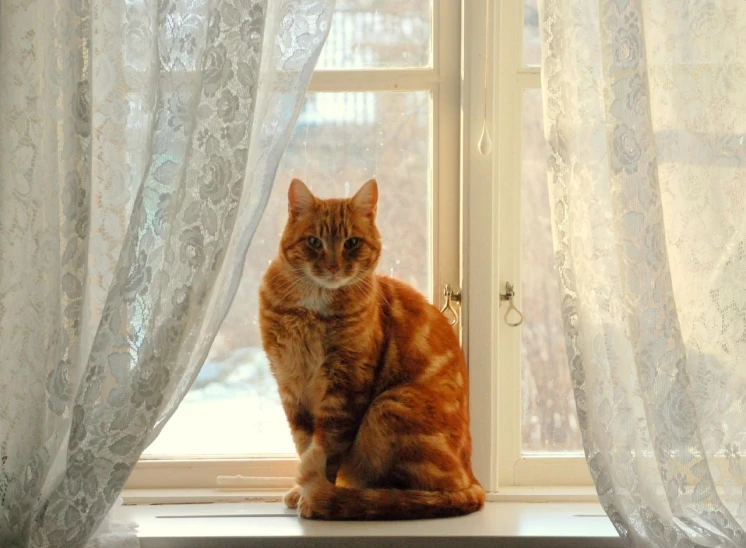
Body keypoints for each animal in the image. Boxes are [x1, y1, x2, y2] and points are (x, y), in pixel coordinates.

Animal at [258, 179, 482, 520]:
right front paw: (302, 491)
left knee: (413, 494)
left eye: (352, 242)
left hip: (389, 407)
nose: (334, 266)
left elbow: (326, 449)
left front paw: (316, 493)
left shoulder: (344, 388)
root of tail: (473, 479)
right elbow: (304, 442)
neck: (312, 308)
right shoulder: (290, 386)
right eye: (314, 242)